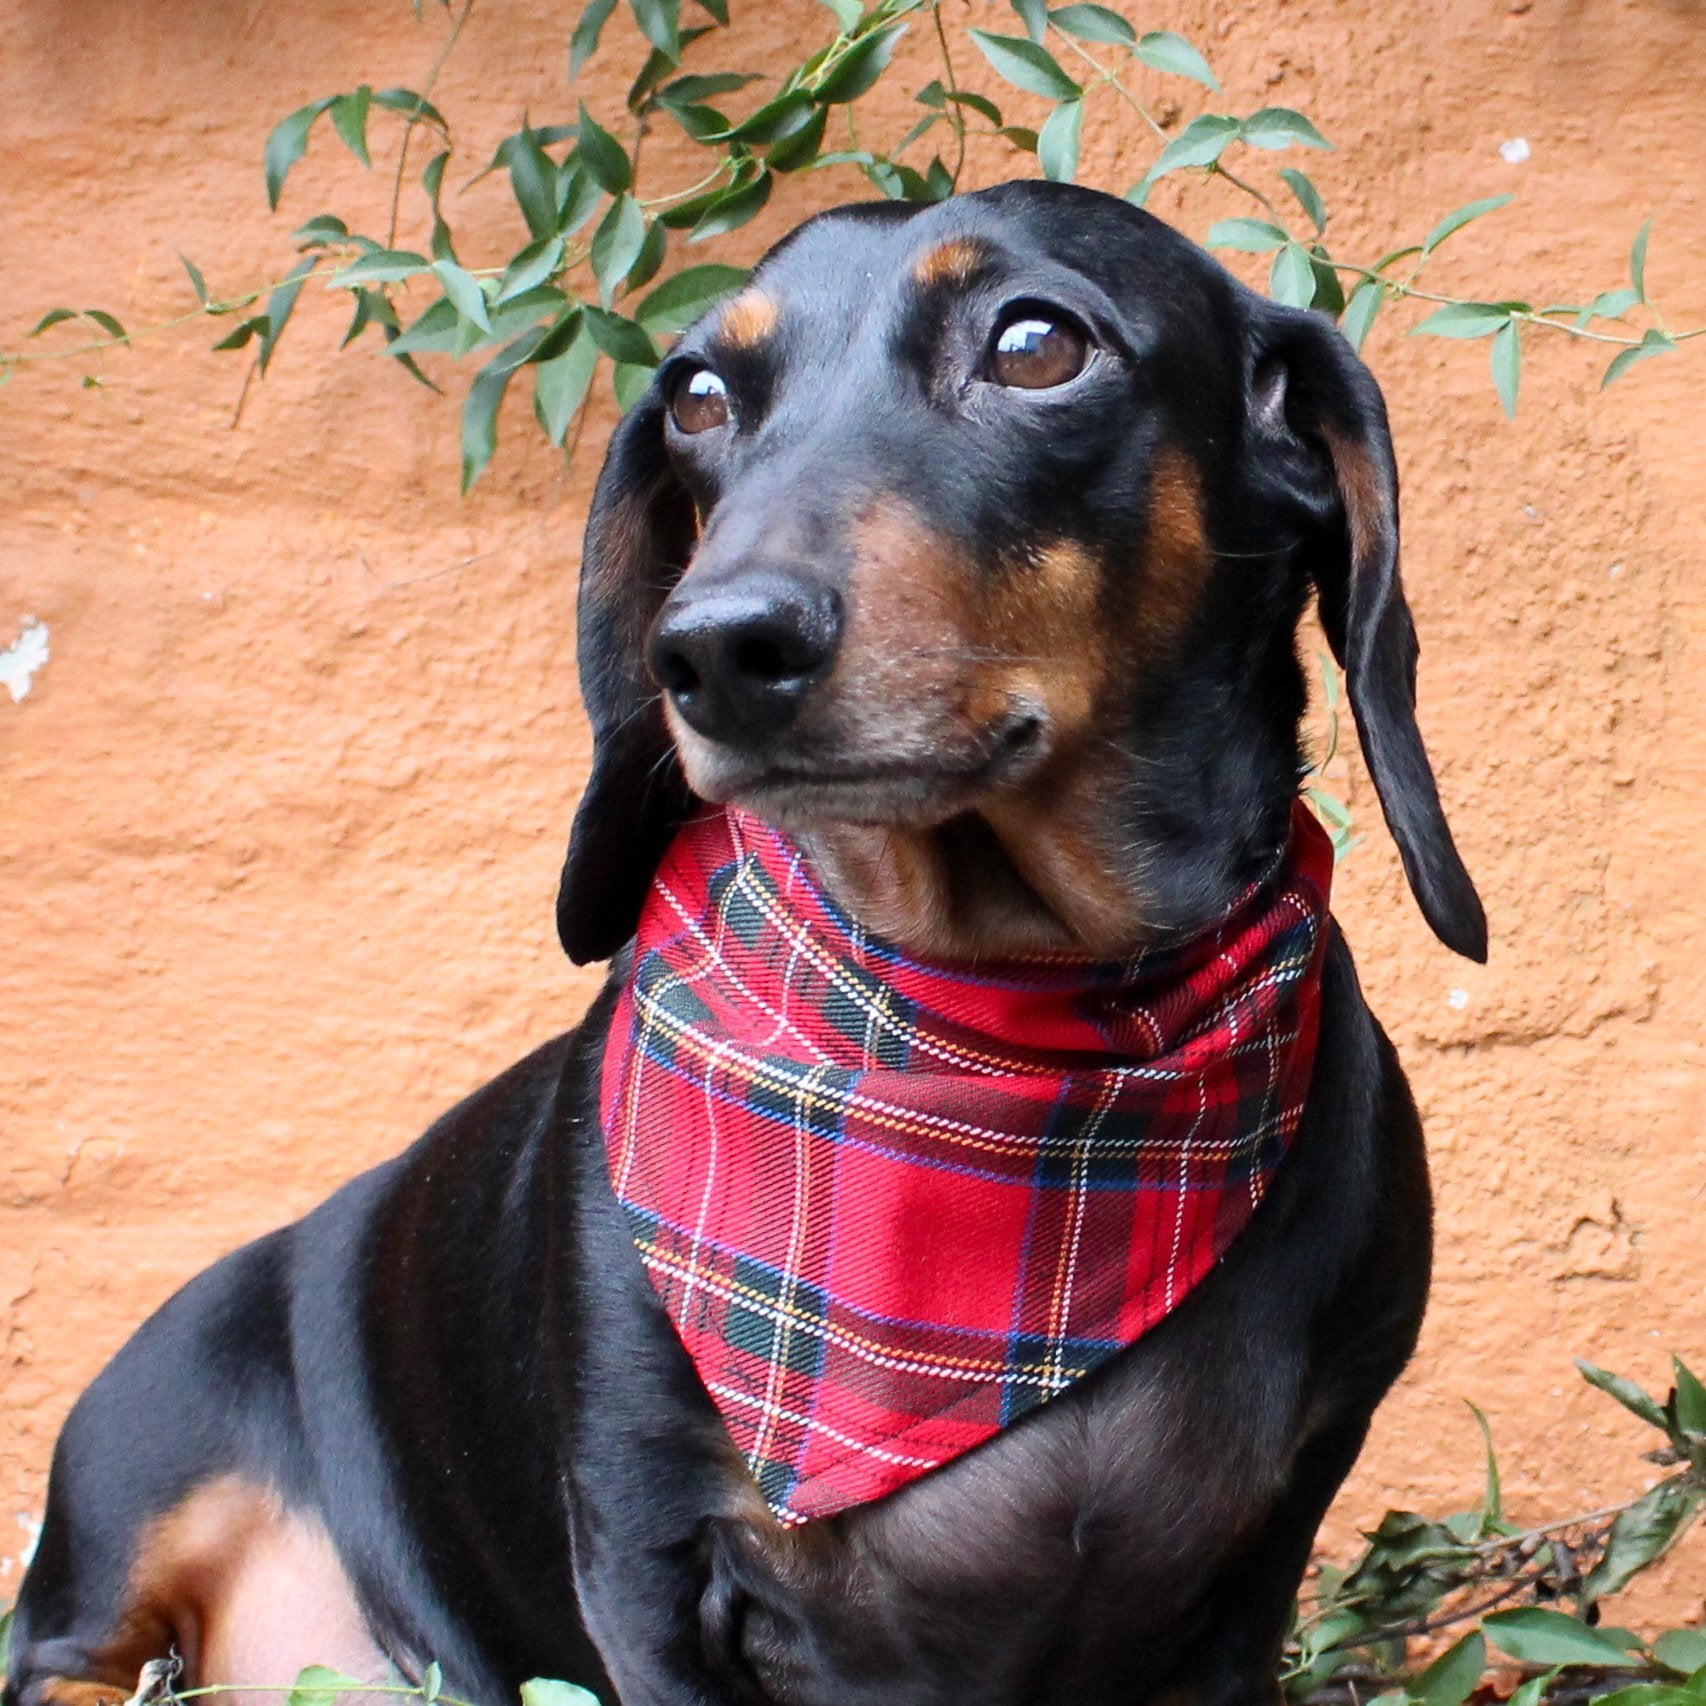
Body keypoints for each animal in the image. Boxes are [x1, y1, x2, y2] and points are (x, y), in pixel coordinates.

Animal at [3, 183, 1480, 1706]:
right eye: (700, 394)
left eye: (1035, 345)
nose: (712, 647)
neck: (1012, 1038)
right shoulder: (645, 1545)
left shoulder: (1259, 1560)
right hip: (132, 1484)